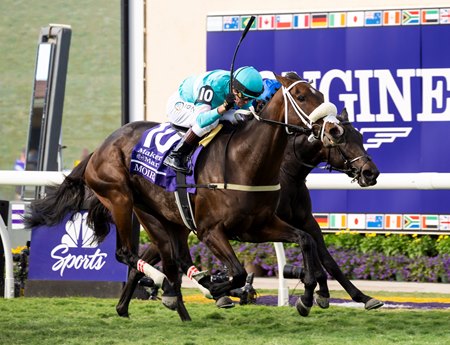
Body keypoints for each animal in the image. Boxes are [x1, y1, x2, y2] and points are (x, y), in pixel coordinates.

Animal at [26, 74, 346, 320]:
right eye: (302, 96)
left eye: (320, 93)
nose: (335, 129)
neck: (244, 160)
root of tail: (98, 149)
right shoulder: (210, 230)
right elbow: (238, 272)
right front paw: (220, 288)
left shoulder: (258, 226)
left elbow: (305, 239)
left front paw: (307, 296)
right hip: (122, 200)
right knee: (129, 253)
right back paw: (166, 285)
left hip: (168, 216)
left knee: (175, 257)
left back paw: (165, 304)